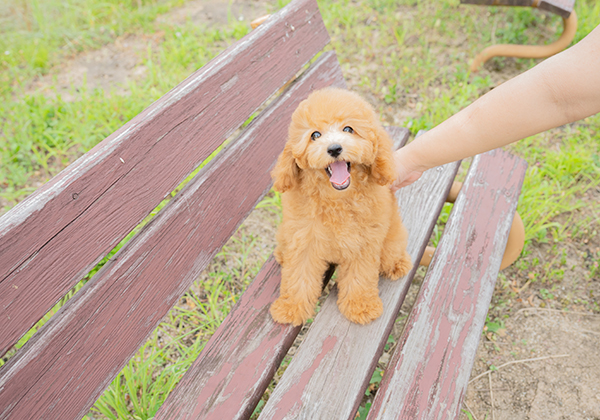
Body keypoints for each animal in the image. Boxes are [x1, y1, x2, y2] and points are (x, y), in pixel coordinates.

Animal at [270, 88, 410, 324]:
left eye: (348, 129)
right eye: (315, 135)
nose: (335, 148)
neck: (336, 198)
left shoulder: (364, 241)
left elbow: (360, 275)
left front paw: (360, 305)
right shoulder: (303, 238)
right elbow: (299, 274)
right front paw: (291, 308)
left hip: (392, 240)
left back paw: (397, 264)